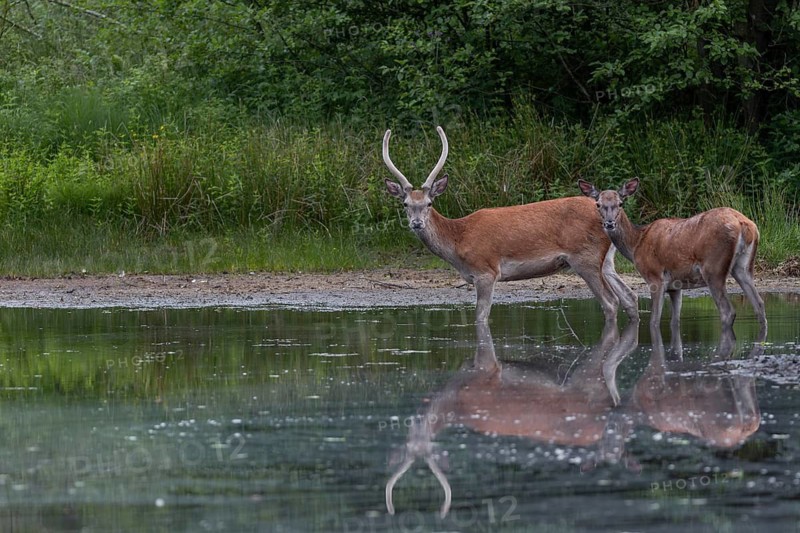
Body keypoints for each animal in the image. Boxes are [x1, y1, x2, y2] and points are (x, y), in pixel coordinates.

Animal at [383, 127, 638, 324]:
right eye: (405, 204)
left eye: (429, 203)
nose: (417, 223)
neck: (458, 242)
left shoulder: (486, 271)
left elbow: (481, 317)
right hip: (607, 260)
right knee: (629, 297)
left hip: (585, 258)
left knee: (611, 302)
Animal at [578, 177, 767, 357]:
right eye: (598, 204)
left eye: (621, 203)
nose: (609, 223)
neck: (636, 244)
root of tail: (744, 224)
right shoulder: (675, 286)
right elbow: (675, 322)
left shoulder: (655, 277)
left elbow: (654, 321)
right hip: (743, 267)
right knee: (759, 303)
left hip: (713, 268)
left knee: (728, 311)